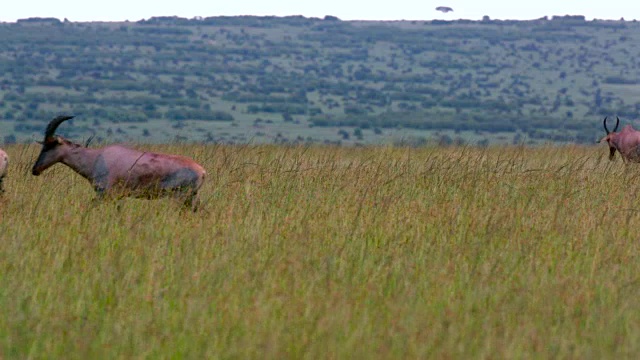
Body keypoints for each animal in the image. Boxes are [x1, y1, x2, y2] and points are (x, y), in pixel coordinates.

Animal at [31, 114, 206, 211]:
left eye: (48, 146)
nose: (35, 170)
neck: (96, 157)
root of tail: (202, 171)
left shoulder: (105, 194)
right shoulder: (117, 197)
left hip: (181, 197)